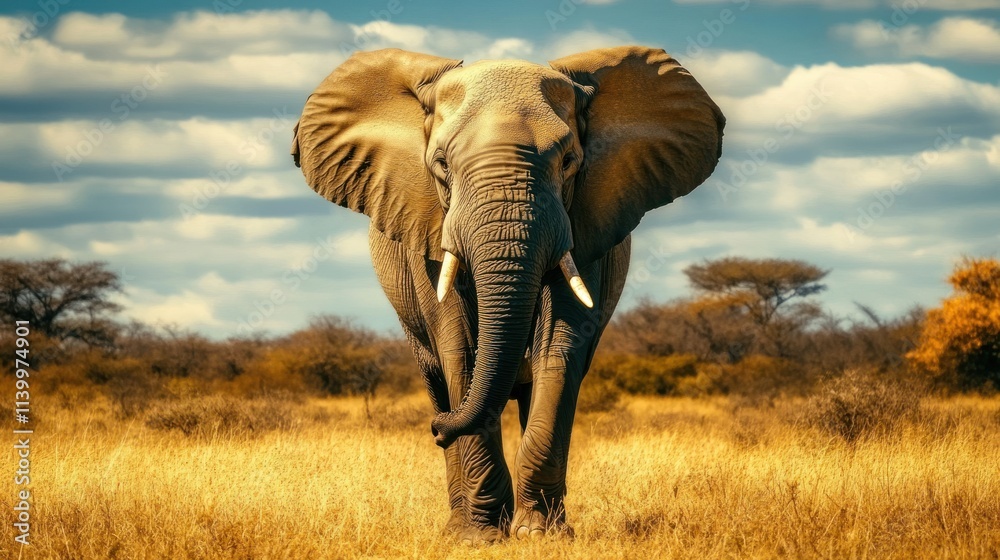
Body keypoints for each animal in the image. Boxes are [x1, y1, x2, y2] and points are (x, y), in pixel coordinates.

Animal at [291, 45, 724, 543]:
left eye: (569, 161)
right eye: (441, 164)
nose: (437, 430)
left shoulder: (586, 223)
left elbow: (560, 347)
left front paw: (540, 535)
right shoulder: (426, 230)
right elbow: (459, 349)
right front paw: (478, 537)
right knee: (438, 376)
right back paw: (457, 516)